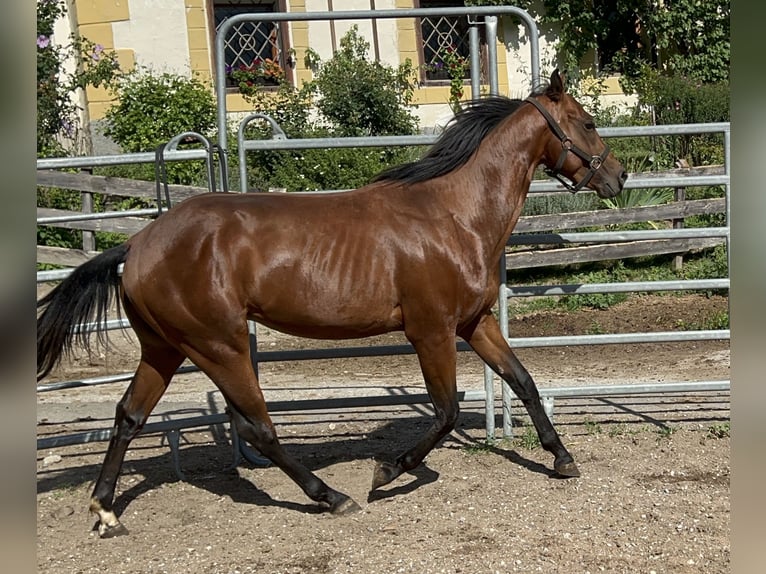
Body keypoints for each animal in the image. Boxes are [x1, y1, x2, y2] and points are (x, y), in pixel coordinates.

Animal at [37, 69, 627, 537]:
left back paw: (106, 511)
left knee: (129, 416)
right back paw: (332, 497)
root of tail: (138, 245)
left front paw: (563, 459)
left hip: (165, 347)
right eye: (589, 122)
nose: (619, 177)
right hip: (218, 345)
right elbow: (445, 411)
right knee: (257, 428)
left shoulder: (474, 322)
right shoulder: (431, 330)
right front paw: (386, 473)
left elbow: (523, 381)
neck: (452, 214)